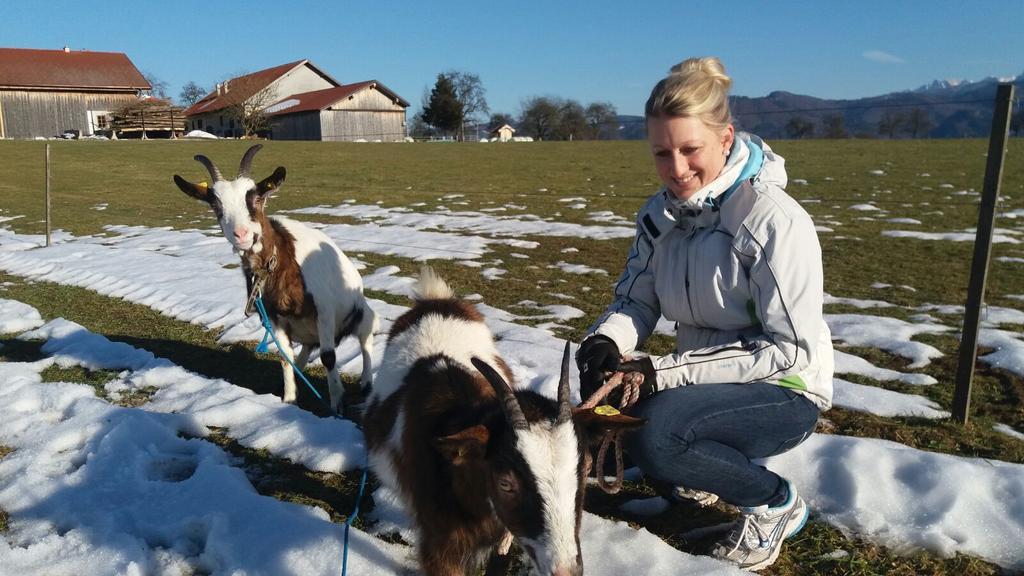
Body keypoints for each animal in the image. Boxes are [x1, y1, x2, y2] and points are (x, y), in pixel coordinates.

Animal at [174, 145, 378, 409]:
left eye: (257, 198)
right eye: (215, 205)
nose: (242, 234)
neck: (280, 262)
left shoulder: (324, 309)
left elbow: (329, 357)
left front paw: (337, 405)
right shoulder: (274, 316)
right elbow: (284, 355)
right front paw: (289, 399)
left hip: (360, 315)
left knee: (365, 339)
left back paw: (366, 382)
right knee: (302, 351)